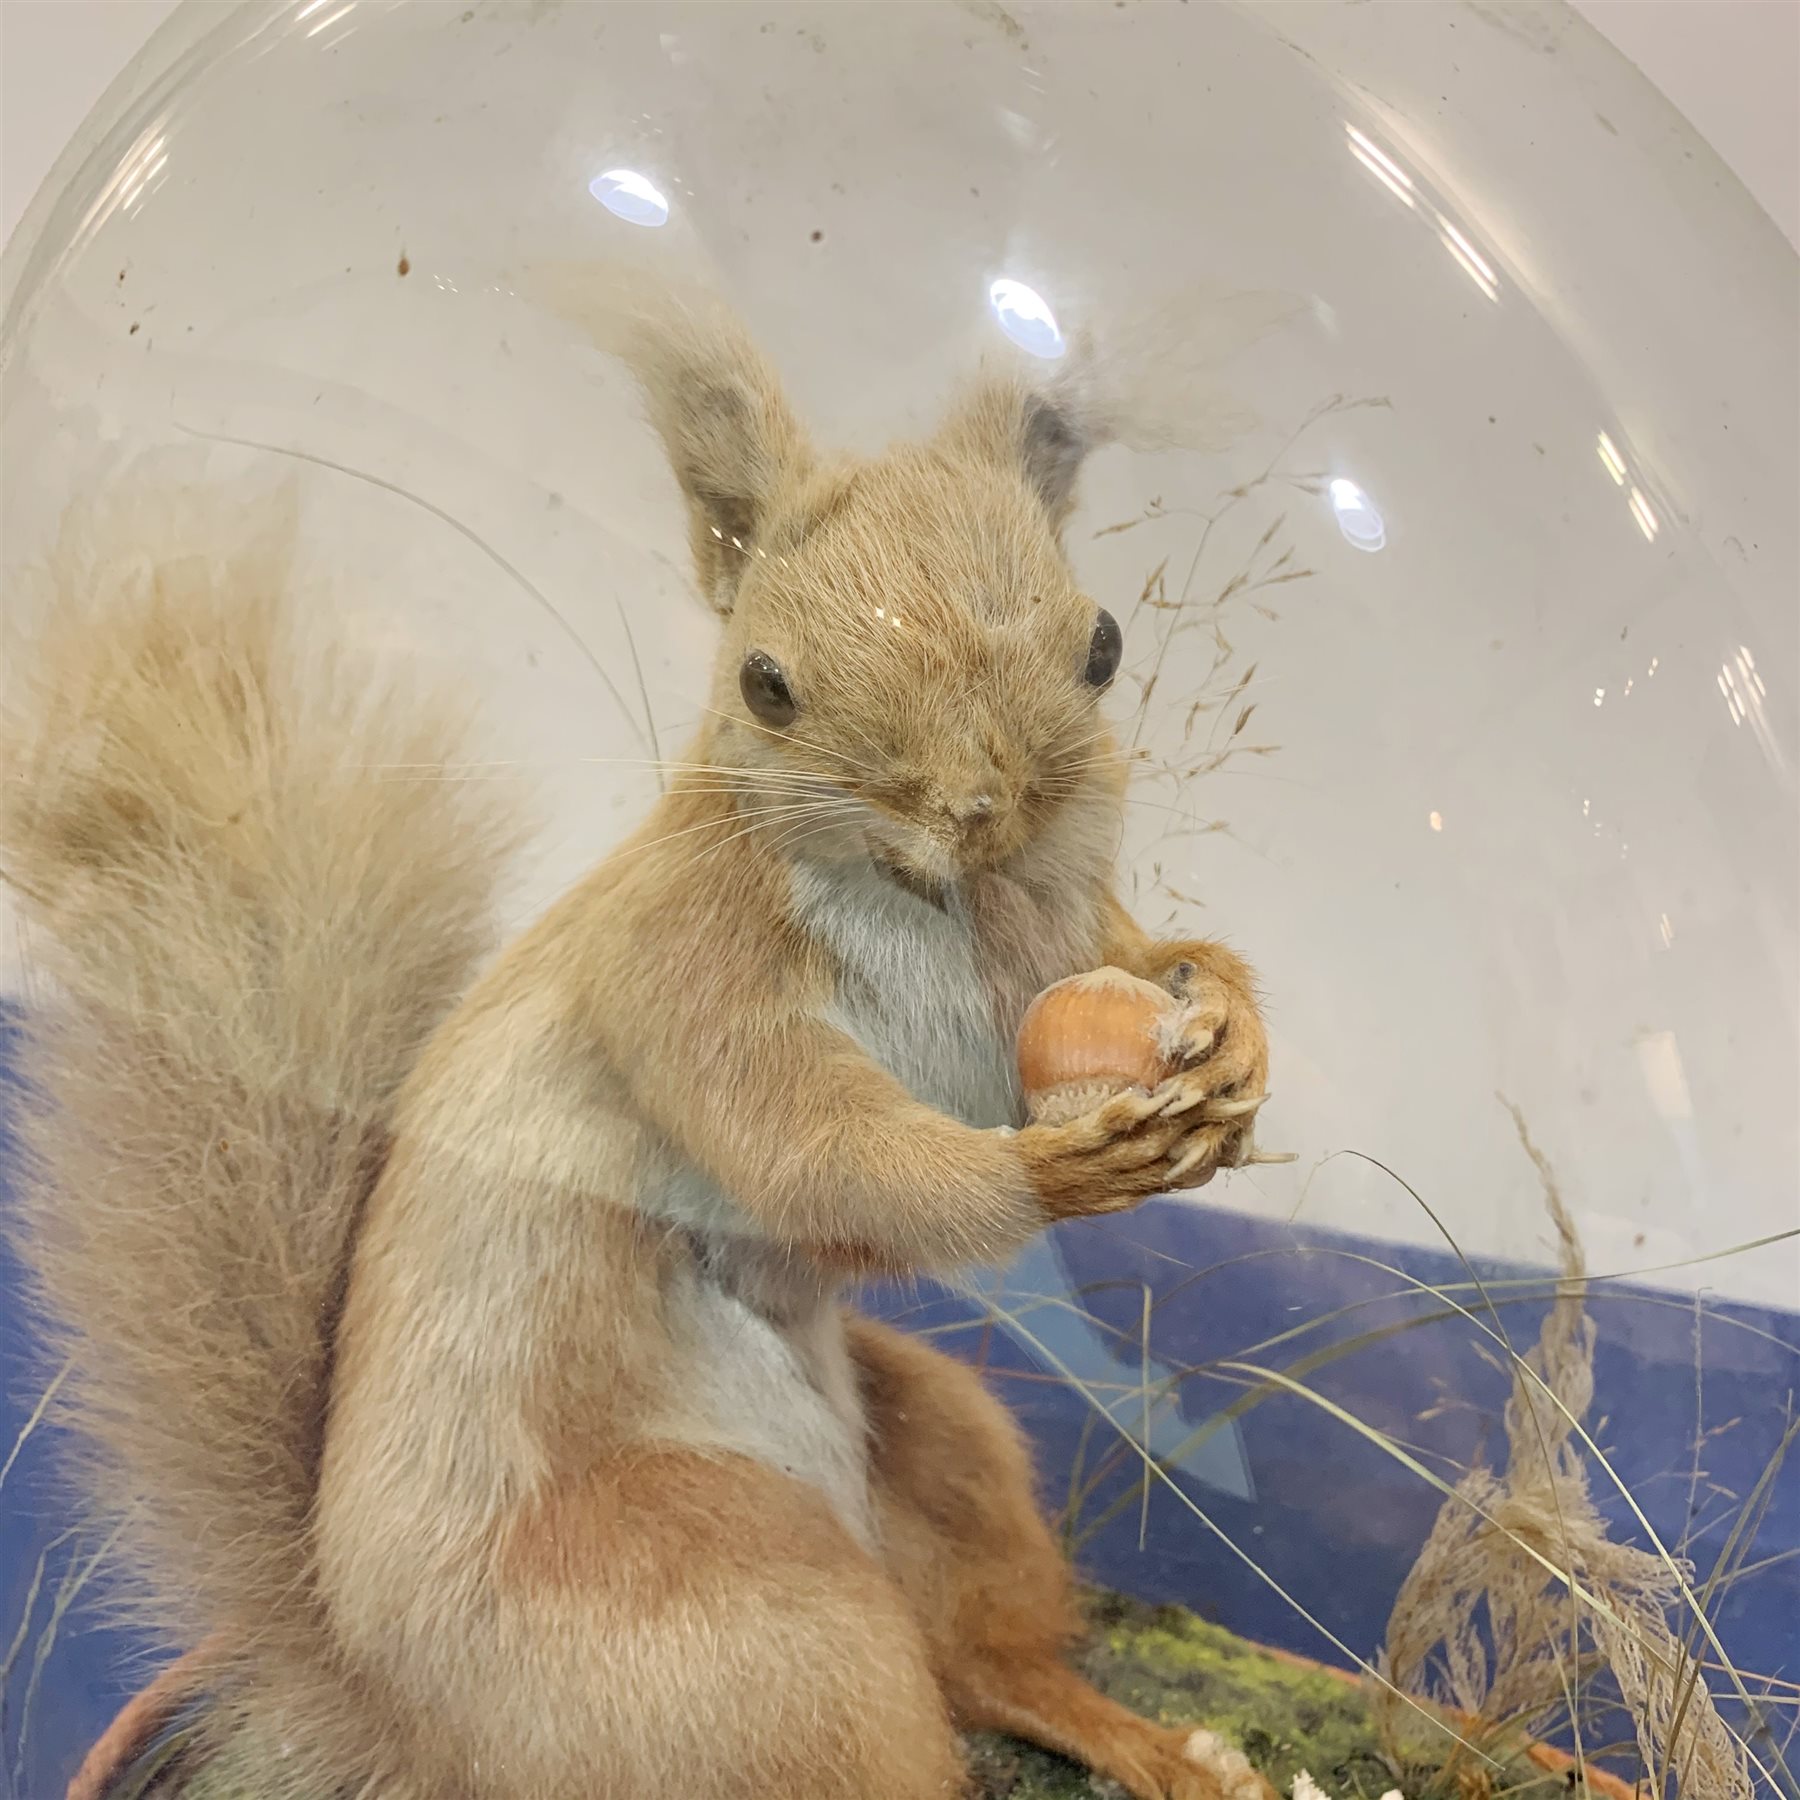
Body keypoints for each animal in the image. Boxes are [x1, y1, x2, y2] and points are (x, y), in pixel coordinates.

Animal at [1, 289, 1277, 1800]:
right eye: (768, 684)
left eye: (1104, 645)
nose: (974, 807)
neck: (930, 901)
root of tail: (400, 1720)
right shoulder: (672, 975)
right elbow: (816, 1155)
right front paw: (1063, 1166)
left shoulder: (1053, 927)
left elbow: (1134, 955)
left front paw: (1234, 1030)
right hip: (753, 1624)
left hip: (947, 1453)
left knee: (985, 1659)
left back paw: (1170, 1751)